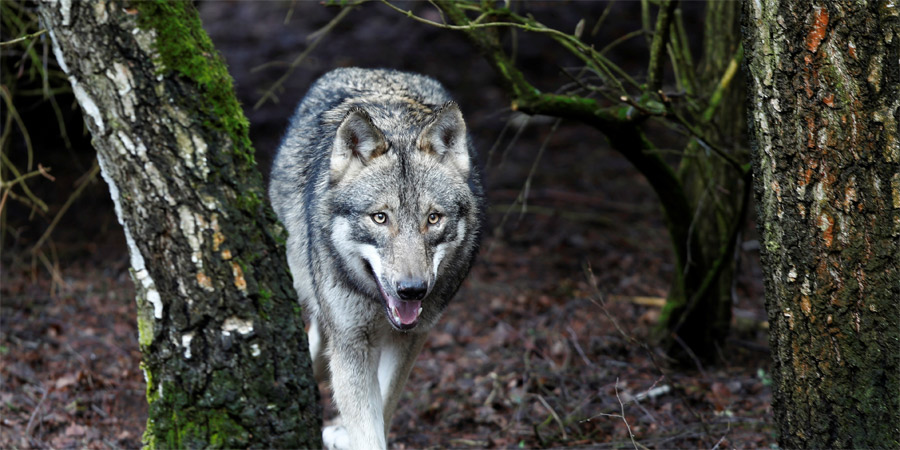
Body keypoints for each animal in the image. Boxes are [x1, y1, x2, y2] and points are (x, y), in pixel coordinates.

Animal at [268, 67, 486, 450]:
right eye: (380, 218)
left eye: (433, 219)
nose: (412, 290)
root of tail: (378, 70)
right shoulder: (351, 341)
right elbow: (366, 426)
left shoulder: (411, 339)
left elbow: (384, 405)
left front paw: (344, 431)